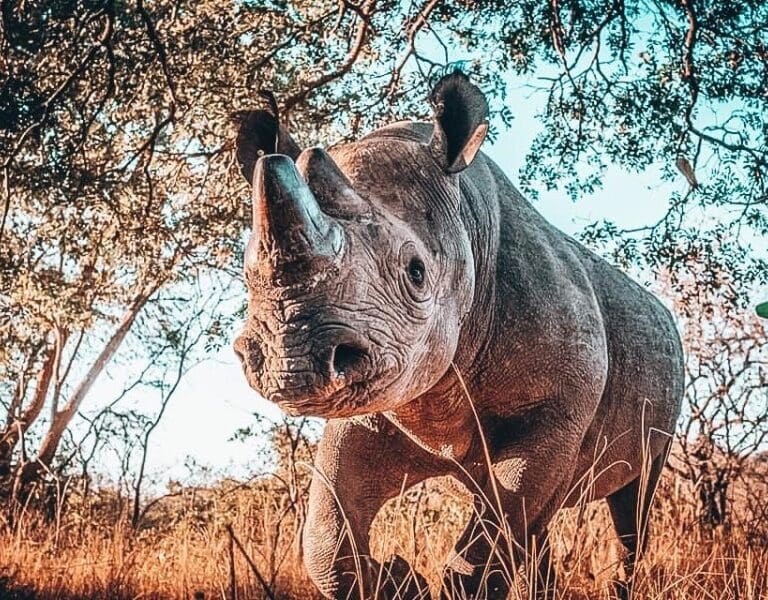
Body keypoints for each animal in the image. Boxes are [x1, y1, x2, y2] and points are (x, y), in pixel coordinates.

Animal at [233, 72, 684, 599]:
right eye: (246, 277)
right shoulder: (382, 398)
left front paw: (419, 582)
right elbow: (326, 528)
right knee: (539, 521)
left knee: (634, 500)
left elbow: (498, 530)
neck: (467, 220)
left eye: (416, 272)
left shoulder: (557, 407)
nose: (291, 362)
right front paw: (399, 581)